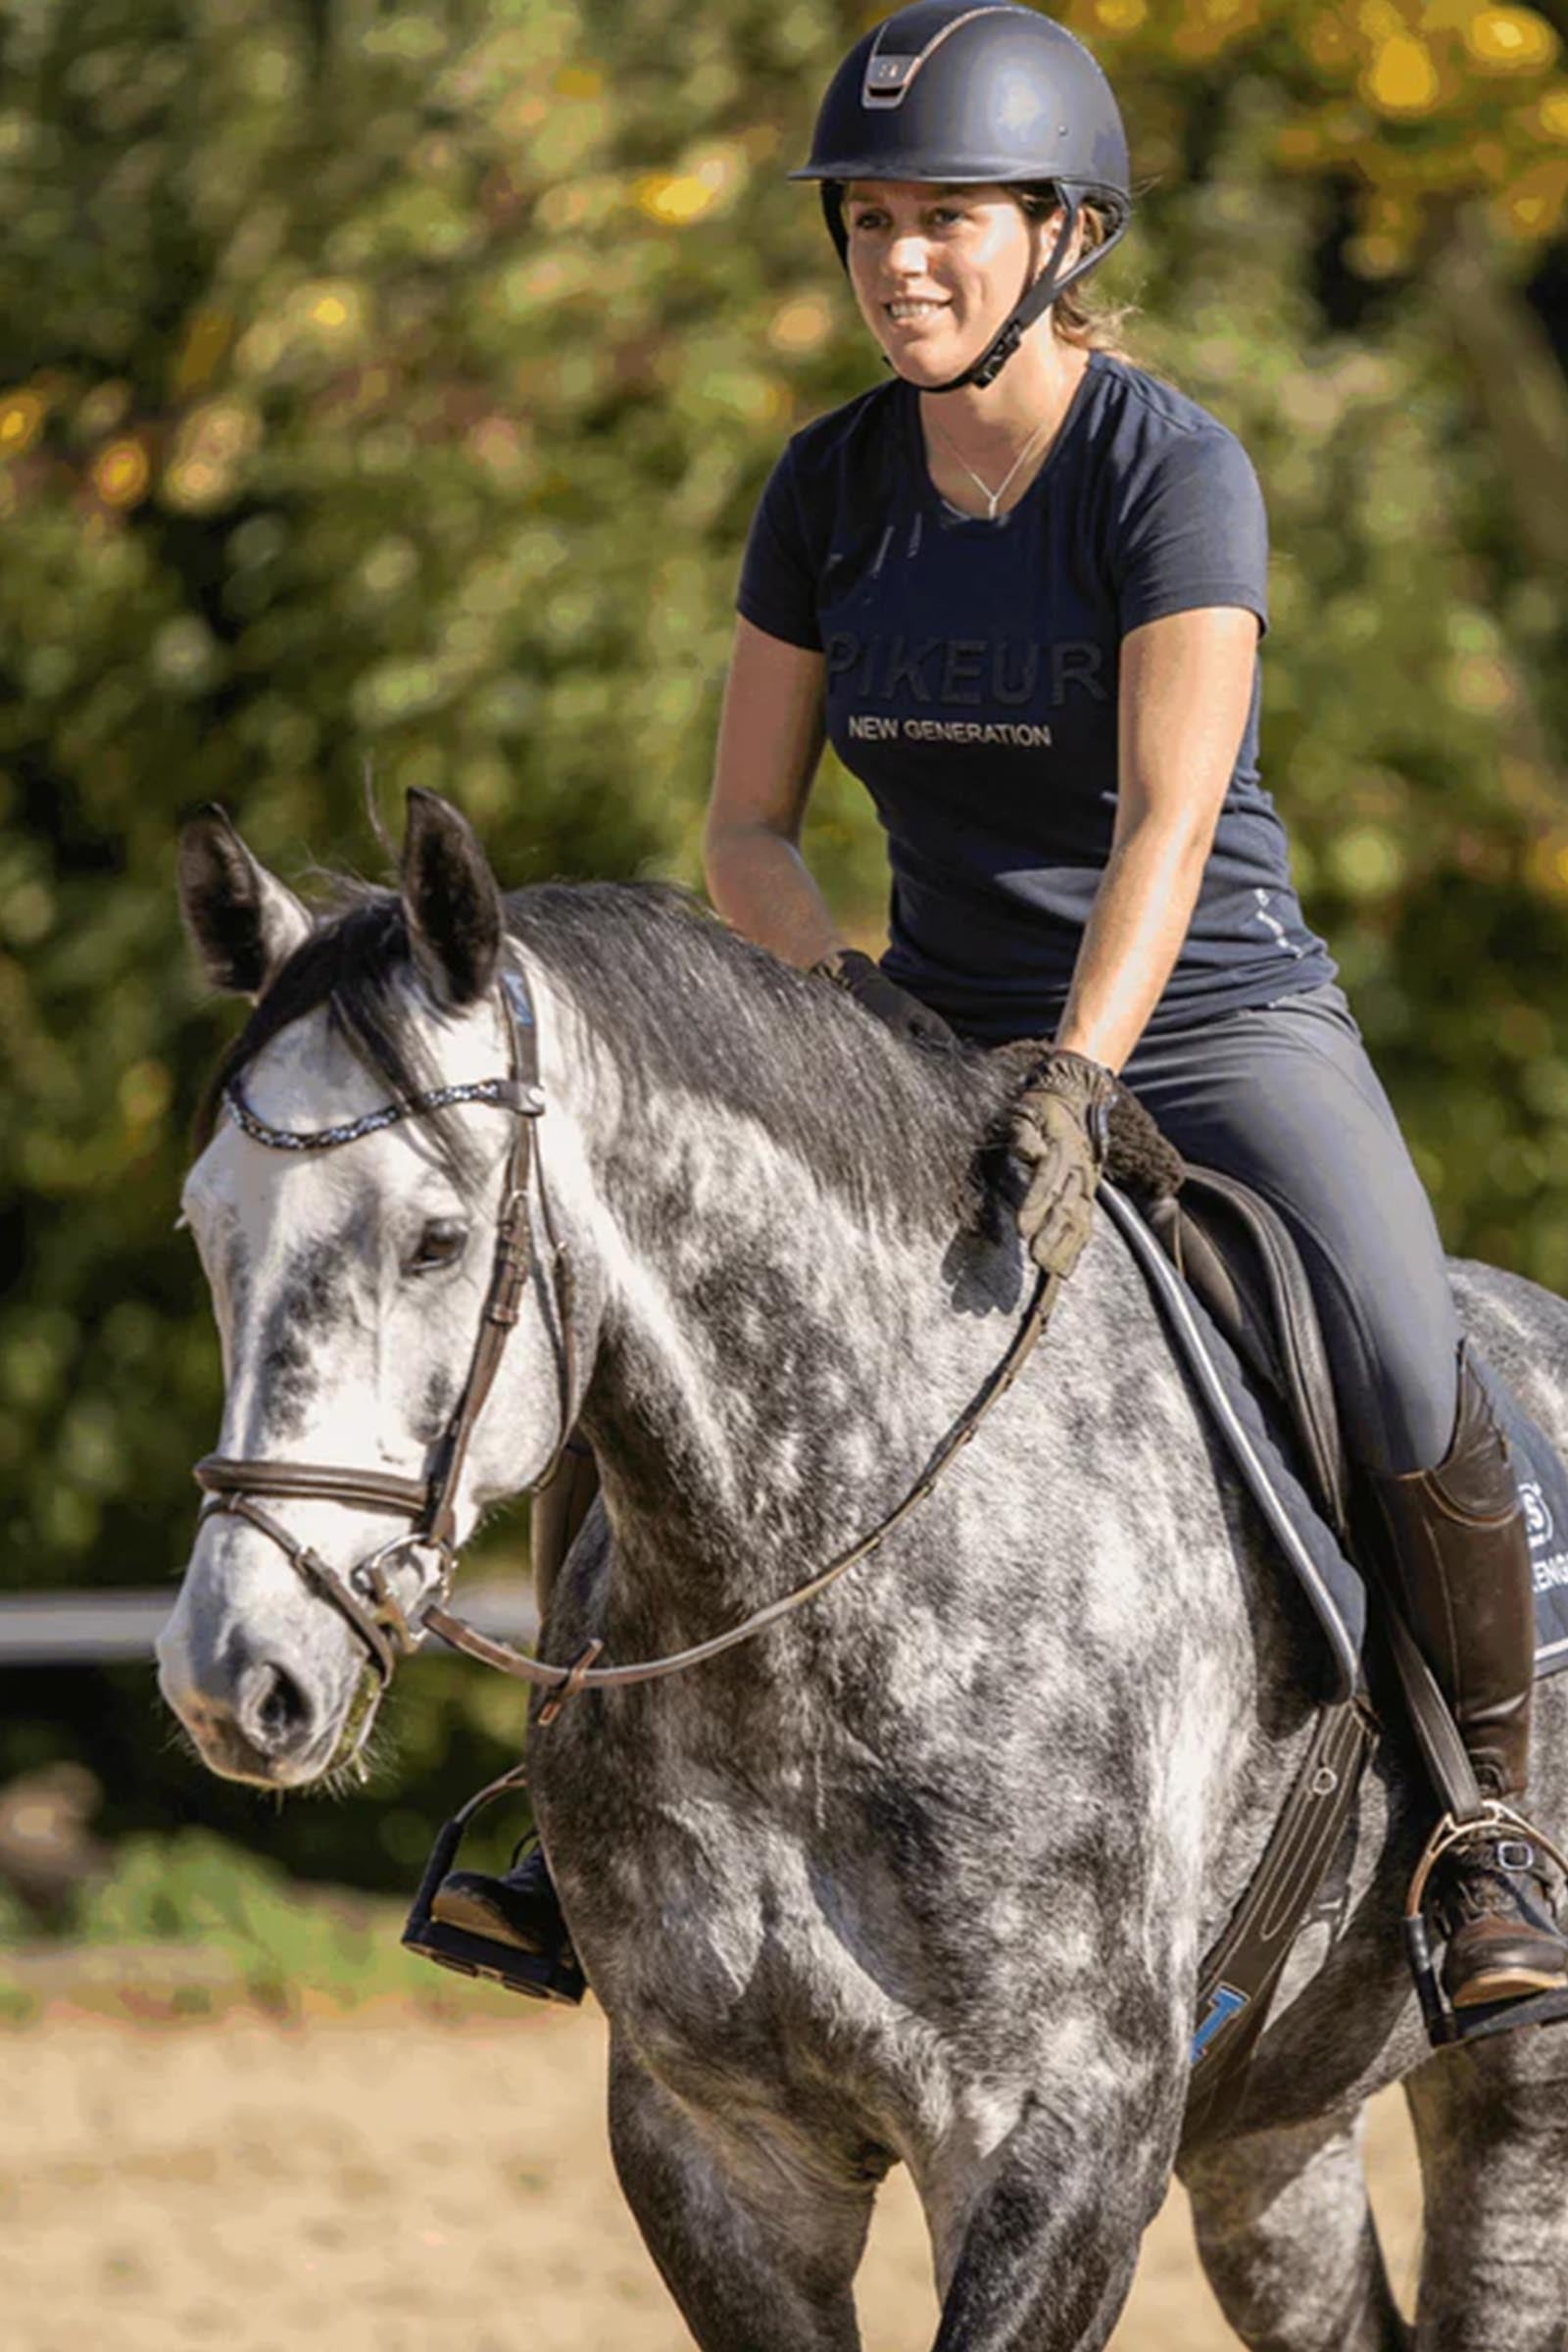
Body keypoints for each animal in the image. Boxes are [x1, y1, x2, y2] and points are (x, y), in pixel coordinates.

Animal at [158, 790, 1568, 2351]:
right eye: (208, 1229)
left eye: (438, 1239)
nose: (237, 1676)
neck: (813, 1599)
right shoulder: (717, 2150)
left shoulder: (1062, 2146)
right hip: (1274, 2131)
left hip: (1519, 2108)